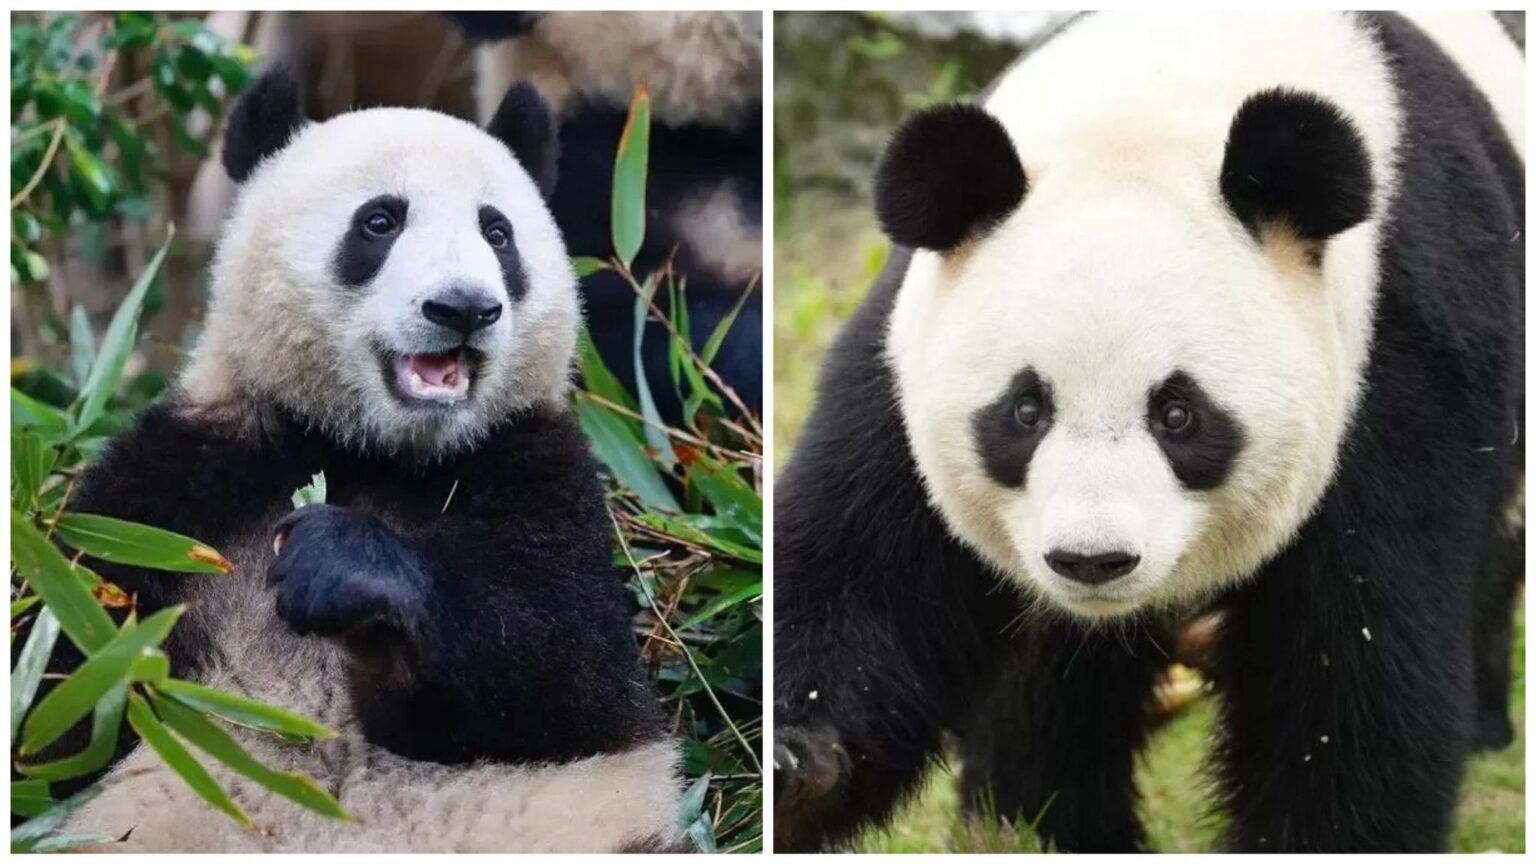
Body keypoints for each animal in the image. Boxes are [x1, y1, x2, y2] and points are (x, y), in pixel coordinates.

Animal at [40, 67, 685, 852]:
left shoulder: (534, 469)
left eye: (497, 232)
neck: (379, 451)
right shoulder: (180, 483)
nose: (463, 308)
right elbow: (66, 684)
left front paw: (341, 565)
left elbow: (560, 671)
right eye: (380, 222)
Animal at [774, 11, 1522, 853]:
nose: (1092, 561)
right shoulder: (904, 356)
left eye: (1179, 415)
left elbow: (1352, 663)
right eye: (1024, 411)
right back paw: (1036, 819)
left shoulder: (1398, 351)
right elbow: (864, 574)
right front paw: (795, 764)